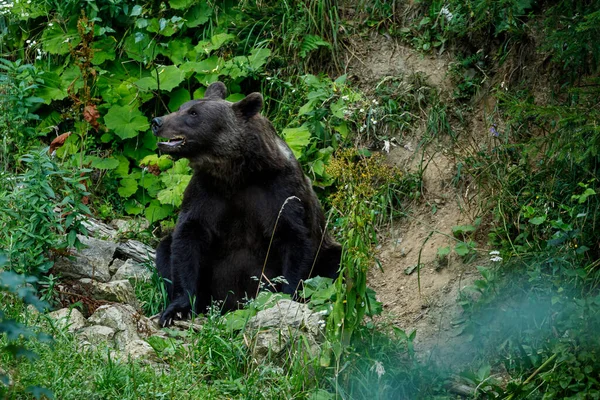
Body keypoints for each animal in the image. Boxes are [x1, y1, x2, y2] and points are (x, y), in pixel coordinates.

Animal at [152, 81, 340, 324]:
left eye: (193, 113)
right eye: (182, 107)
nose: (157, 122)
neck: (235, 173)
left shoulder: (280, 191)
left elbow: (296, 238)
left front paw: (287, 297)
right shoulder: (205, 194)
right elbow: (187, 240)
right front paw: (178, 308)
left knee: (336, 262)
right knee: (165, 248)